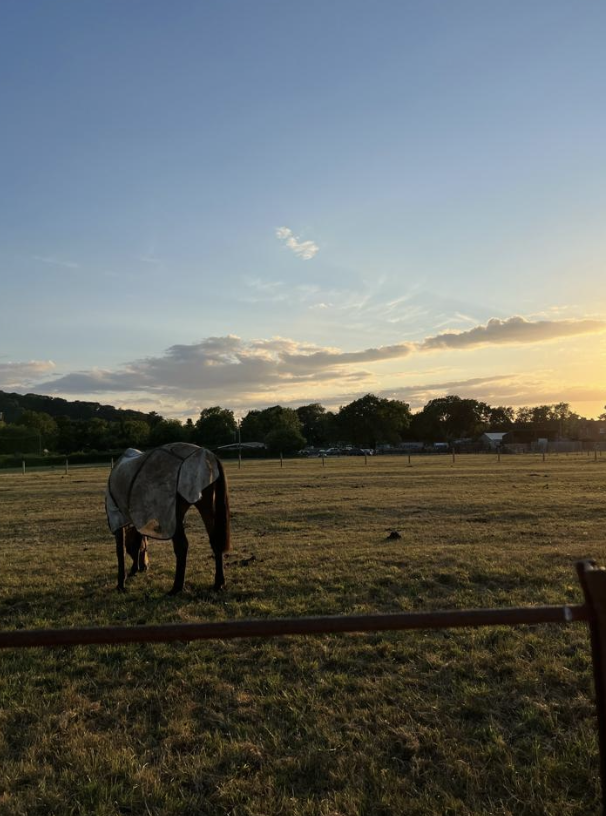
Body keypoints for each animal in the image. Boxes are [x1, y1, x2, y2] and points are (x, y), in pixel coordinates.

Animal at [105, 442, 230, 594]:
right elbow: (140, 542)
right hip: (206, 507)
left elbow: (121, 550)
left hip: (174, 517)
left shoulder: (116, 517)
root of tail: (206, 454)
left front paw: (121, 584)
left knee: (182, 546)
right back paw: (218, 583)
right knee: (215, 541)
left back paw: (176, 588)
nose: (145, 566)